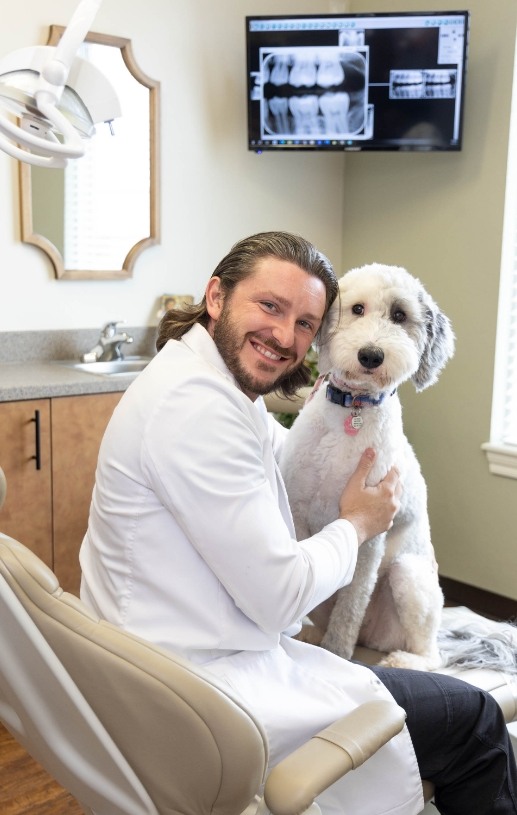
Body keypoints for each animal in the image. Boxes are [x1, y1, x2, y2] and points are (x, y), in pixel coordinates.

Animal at [280, 264, 454, 672]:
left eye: (400, 315)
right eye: (357, 308)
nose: (371, 355)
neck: (353, 408)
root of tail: (373, 638)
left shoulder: (371, 537)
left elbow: (352, 603)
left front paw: (338, 653)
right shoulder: (297, 511)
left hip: (408, 575)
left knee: (434, 654)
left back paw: (401, 660)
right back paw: (313, 635)